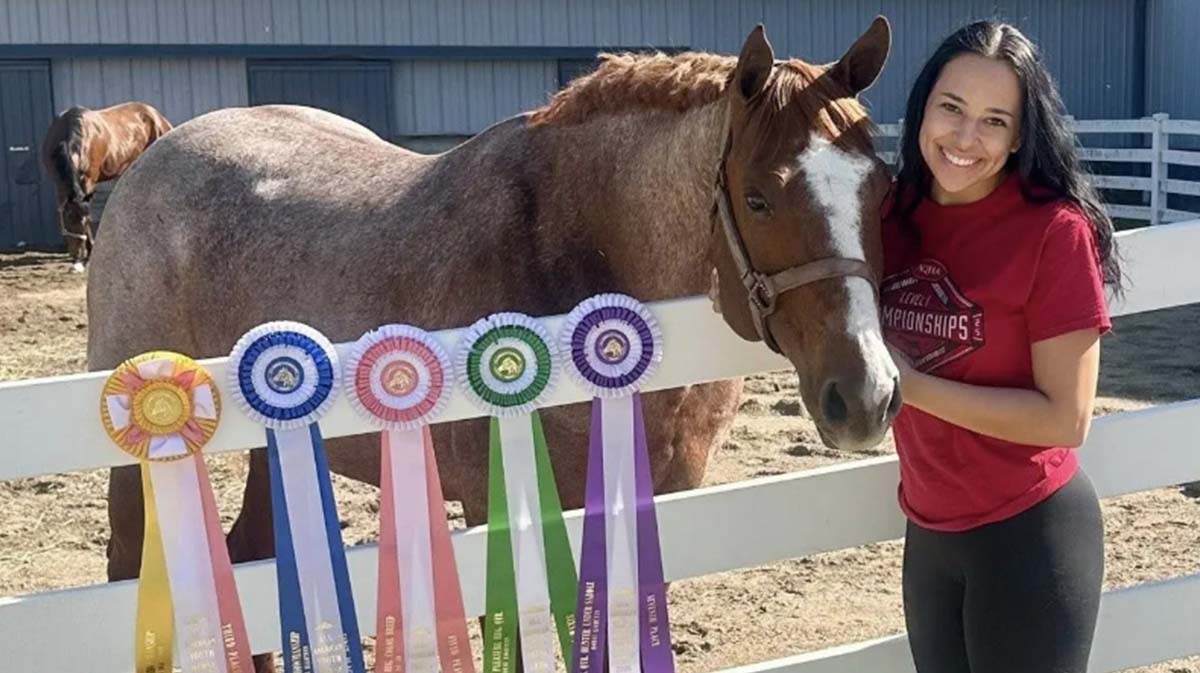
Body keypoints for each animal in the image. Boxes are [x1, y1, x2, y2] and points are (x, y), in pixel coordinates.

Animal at [40, 101, 172, 271]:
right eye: (67, 219)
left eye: (84, 220)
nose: (78, 255)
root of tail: (156, 115)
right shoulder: (59, 184)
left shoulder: (88, 181)